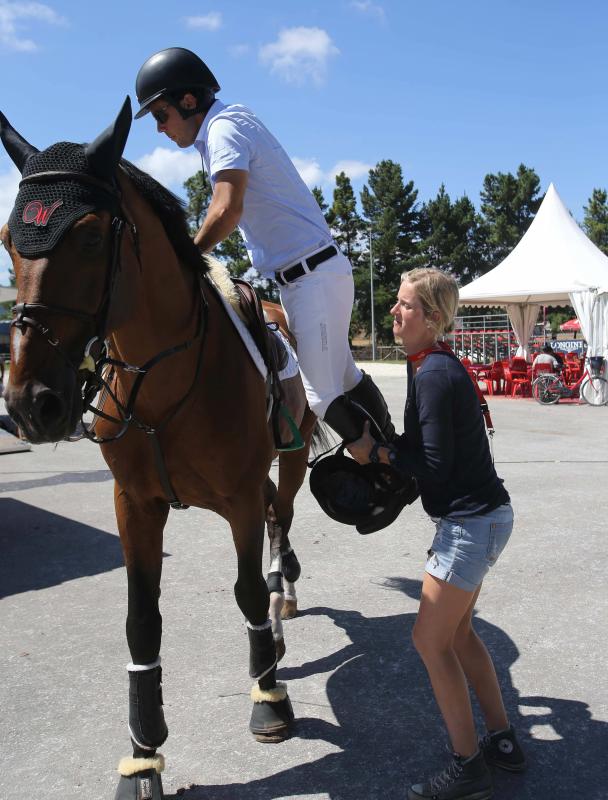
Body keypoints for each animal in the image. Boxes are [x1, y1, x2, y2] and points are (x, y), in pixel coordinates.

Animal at [1, 97, 318, 796]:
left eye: (92, 236)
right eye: (10, 242)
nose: (32, 404)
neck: (164, 380)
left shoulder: (237, 499)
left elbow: (245, 590)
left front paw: (268, 698)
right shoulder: (134, 505)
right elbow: (141, 619)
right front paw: (143, 754)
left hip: (288, 458)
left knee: (281, 520)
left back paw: (282, 599)